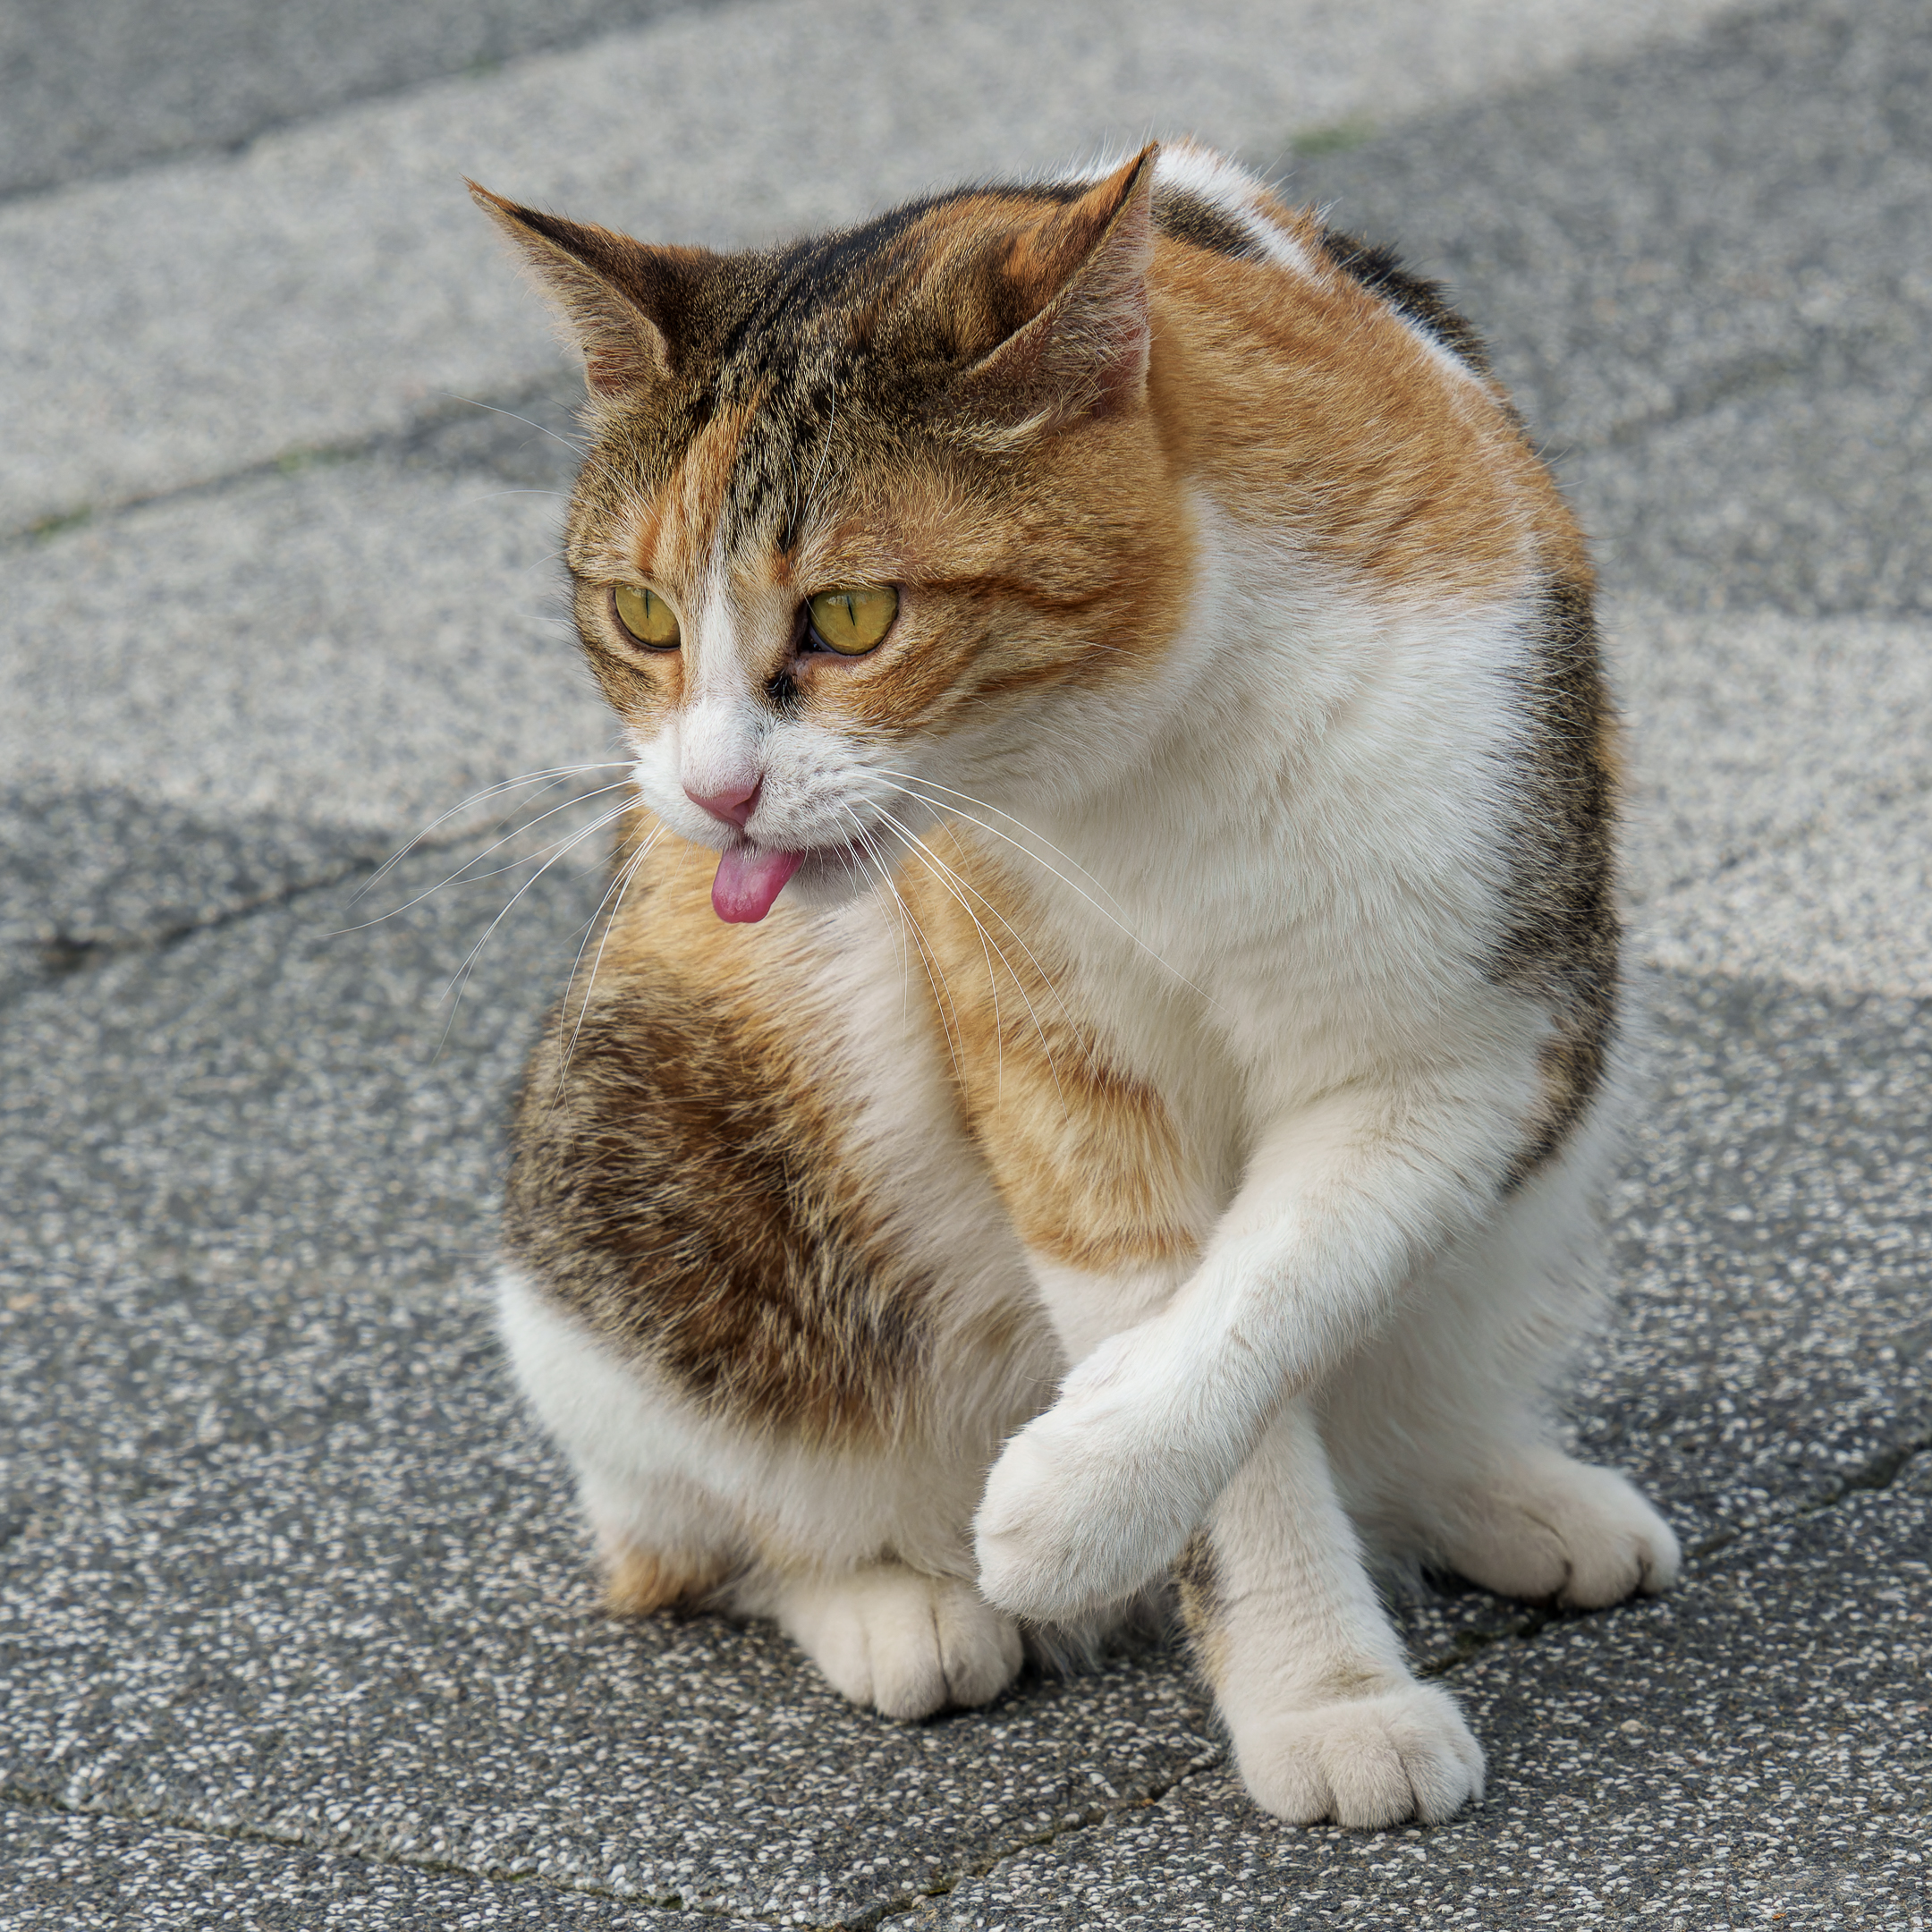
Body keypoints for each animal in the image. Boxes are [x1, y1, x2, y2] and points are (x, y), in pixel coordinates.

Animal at [473, 139, 1680, 1830]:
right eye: (640, 615)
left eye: (852, 617)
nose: (713, 795)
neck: (1162, 757)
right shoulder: (1045, 1043)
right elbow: (1178, 1330)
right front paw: (1316, 1691)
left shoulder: (1488, 1025)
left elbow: (1287, 1279)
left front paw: (1078, 1499)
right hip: (650, 1153)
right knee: (694, 1530)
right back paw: (897, 1601)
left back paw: (1502, 1493)